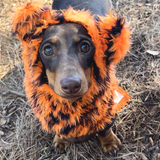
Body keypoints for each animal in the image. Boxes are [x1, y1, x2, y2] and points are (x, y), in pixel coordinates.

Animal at [12, 0, 131, 156]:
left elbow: (105, 129)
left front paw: (110, 143)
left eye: (85, 47)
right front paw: (60, 141)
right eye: (48, 49)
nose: (71, 85)